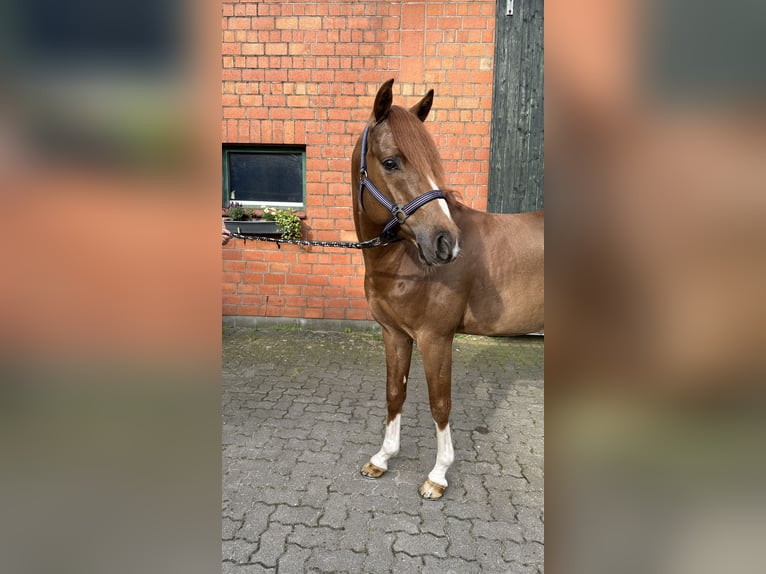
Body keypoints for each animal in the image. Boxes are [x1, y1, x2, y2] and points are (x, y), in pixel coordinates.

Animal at [354, 80, 544, 500]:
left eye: (433, 162)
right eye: (390, 162)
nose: (445, 243)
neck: (404, 261)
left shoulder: (435, 337)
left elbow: (439, 403)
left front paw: (438, 475)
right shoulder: (394, 334)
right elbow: (395, 392)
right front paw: (382, 458)